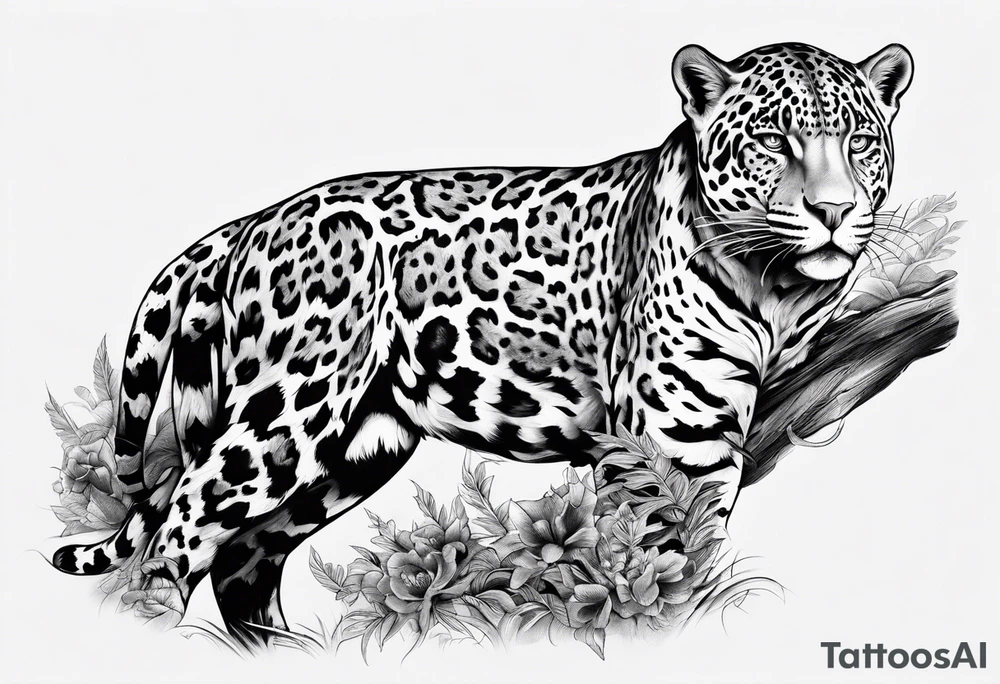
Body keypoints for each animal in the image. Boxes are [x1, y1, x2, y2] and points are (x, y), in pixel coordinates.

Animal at [51, 41, 913, 642]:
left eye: (860, 142)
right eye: (772, 141)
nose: (835, 211)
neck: (778, 289)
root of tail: (249, 224)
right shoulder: (673, 437)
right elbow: (666, 556)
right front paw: (658, 628)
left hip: (358, 448)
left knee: (240, 560)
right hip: (286, 416)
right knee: (178, 535)